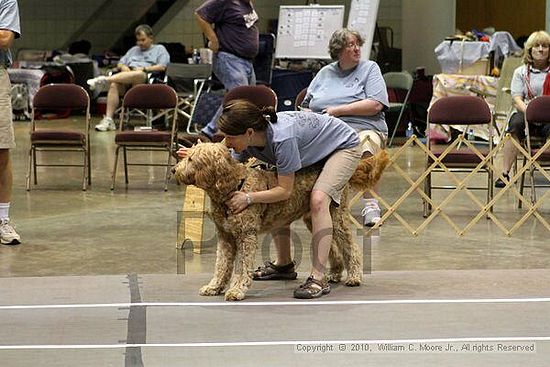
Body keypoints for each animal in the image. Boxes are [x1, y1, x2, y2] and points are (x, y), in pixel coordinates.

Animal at [175, 142, 390, 300]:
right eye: (187, 156)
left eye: (191, 159)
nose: (174, 170)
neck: (234, 186)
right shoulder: (225, 236)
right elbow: (221, 265)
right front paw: (214, 287)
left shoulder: (246, 236)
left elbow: (241, 267)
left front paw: (237, 290)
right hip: (314, 218)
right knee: (332, 246)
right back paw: (335, 273)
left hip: (336, 215)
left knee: (350, 246)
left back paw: (354, 276)